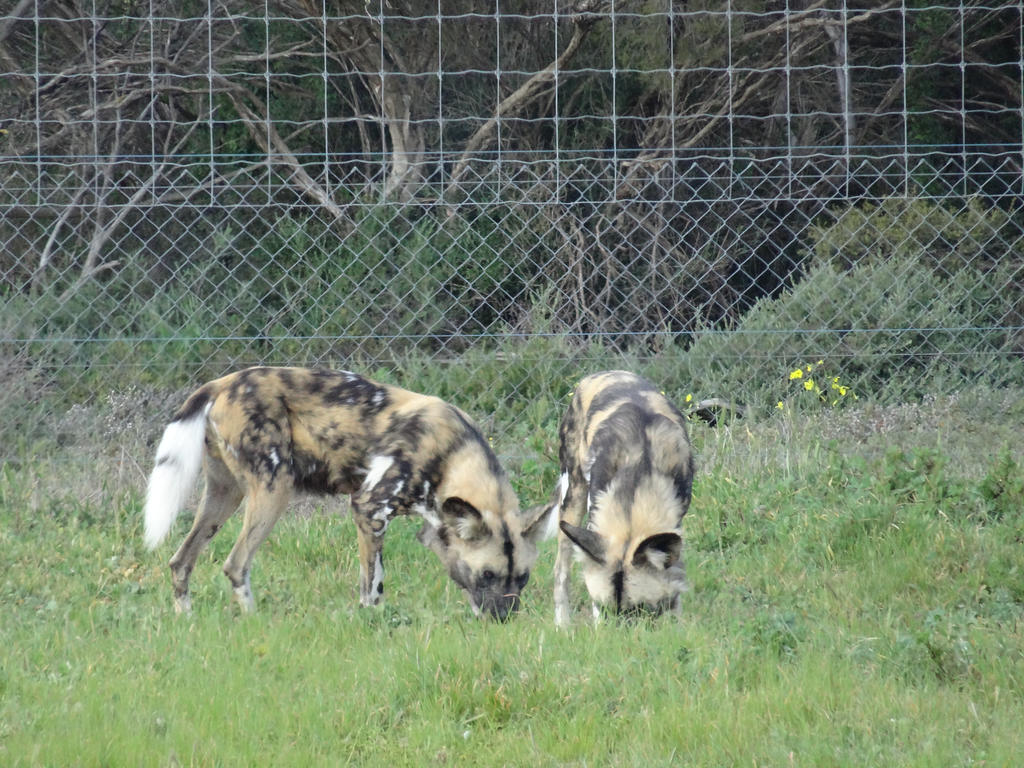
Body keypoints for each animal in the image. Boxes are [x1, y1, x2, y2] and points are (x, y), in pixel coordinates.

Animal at [144, 366, 552, 618]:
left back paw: (186, 619)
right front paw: (372, 621)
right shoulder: (368, 508)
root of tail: (221, 383)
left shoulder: (425, 527)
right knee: (236, 563)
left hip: (225, 495)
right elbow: (372, 584)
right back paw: (255, 621)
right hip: (274, 489)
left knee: (181, 560)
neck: (452, 453)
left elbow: (440, 574)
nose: (502, 619)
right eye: (488, 574)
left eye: (523, 578)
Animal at [548, 370, 692, 626]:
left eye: (641, 609)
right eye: (603, 609)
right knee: (561, 571)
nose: (617, 634)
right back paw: (562, 625)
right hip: (572, 503)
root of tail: (602, 374)